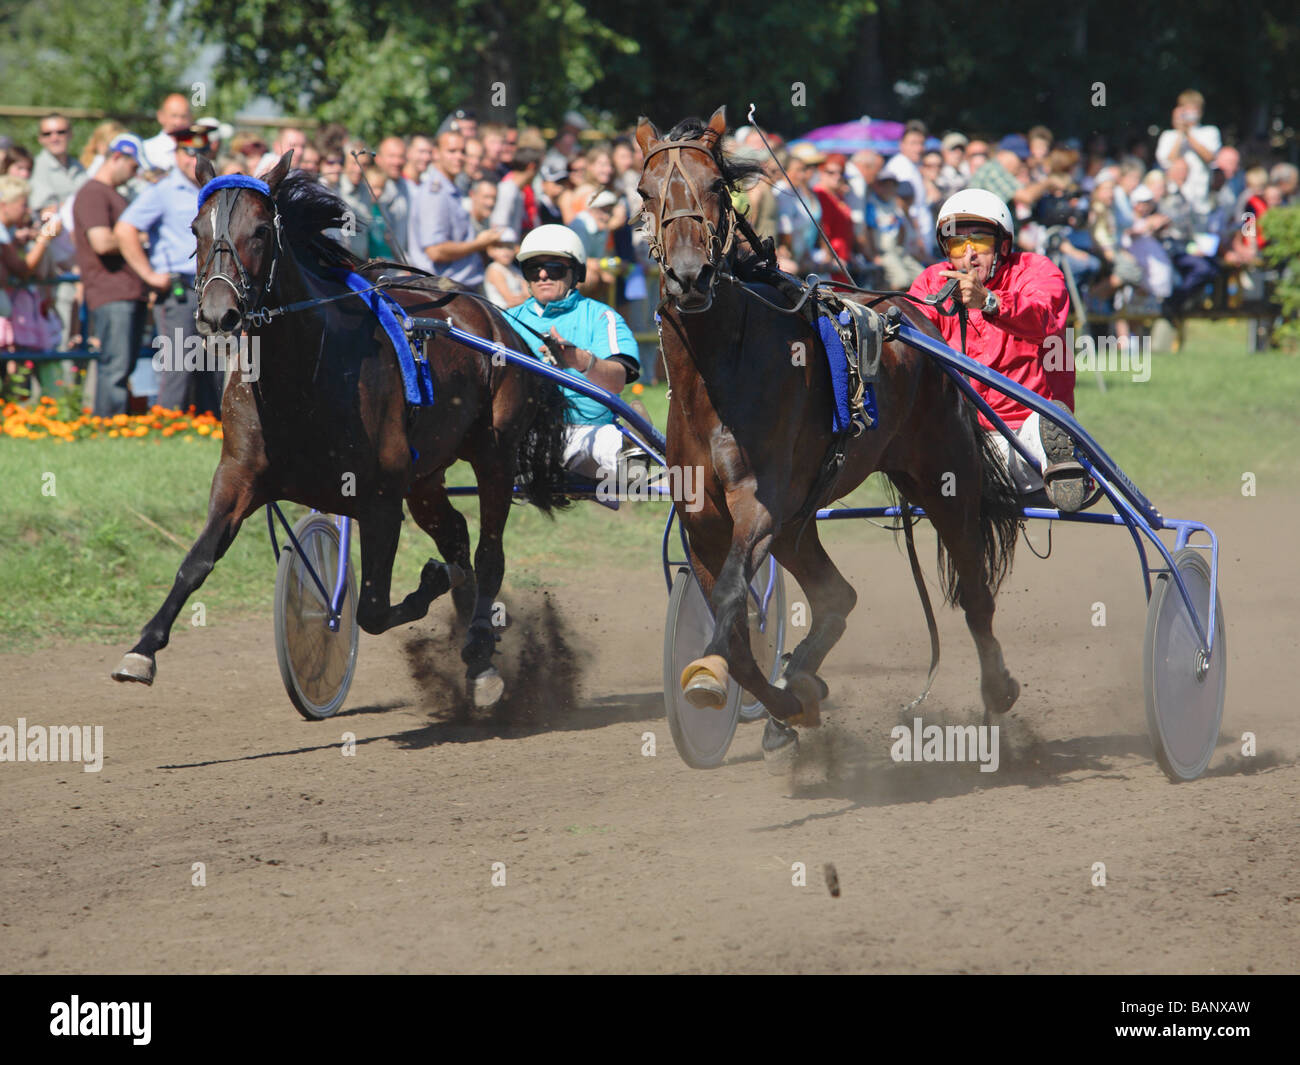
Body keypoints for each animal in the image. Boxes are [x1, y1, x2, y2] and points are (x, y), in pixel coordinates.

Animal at [111, 152, 571, 708]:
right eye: (195, 228)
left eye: (260, 230)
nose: (219, 315)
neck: (303, 376)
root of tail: (500, 319)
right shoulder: (238, 478)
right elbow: (196, 561)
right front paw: (142, 650)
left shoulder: (380, 499)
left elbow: (370, 610)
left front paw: (430, 581)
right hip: (425, 477)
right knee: (458, 536)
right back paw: (475, 656)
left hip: (494, 454)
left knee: (487, 554)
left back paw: (480, 649)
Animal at [636, 107, 1023, 760]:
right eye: (644, 192)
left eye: (715, 187)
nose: (690, 277)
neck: (719, 375)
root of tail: (913, 315)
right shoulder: (705, 521)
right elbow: (733, 635)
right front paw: (787, 701)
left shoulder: (760, 503)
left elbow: (733, 595)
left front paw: (730, 681)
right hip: (801, 519)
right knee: (837, 596)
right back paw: (803, 680)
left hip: (943, 475)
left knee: (974, 590)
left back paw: (998, 687)